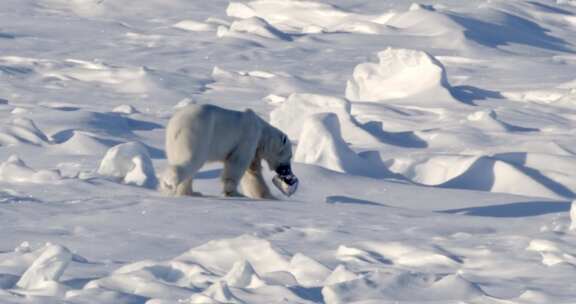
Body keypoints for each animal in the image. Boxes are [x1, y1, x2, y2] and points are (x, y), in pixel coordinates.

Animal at [162, 104, 296, 200]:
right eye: (290, 156)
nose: (288, 173)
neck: (262, 132)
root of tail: (175, 124)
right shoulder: (248, 138)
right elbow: (237, 164)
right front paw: (235, 193)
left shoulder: (254, 148)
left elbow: (253, 172)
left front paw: (266, 195)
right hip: (197, 133)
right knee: (191, 159)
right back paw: (170, 181)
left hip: (172, 144)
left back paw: (191, 192)